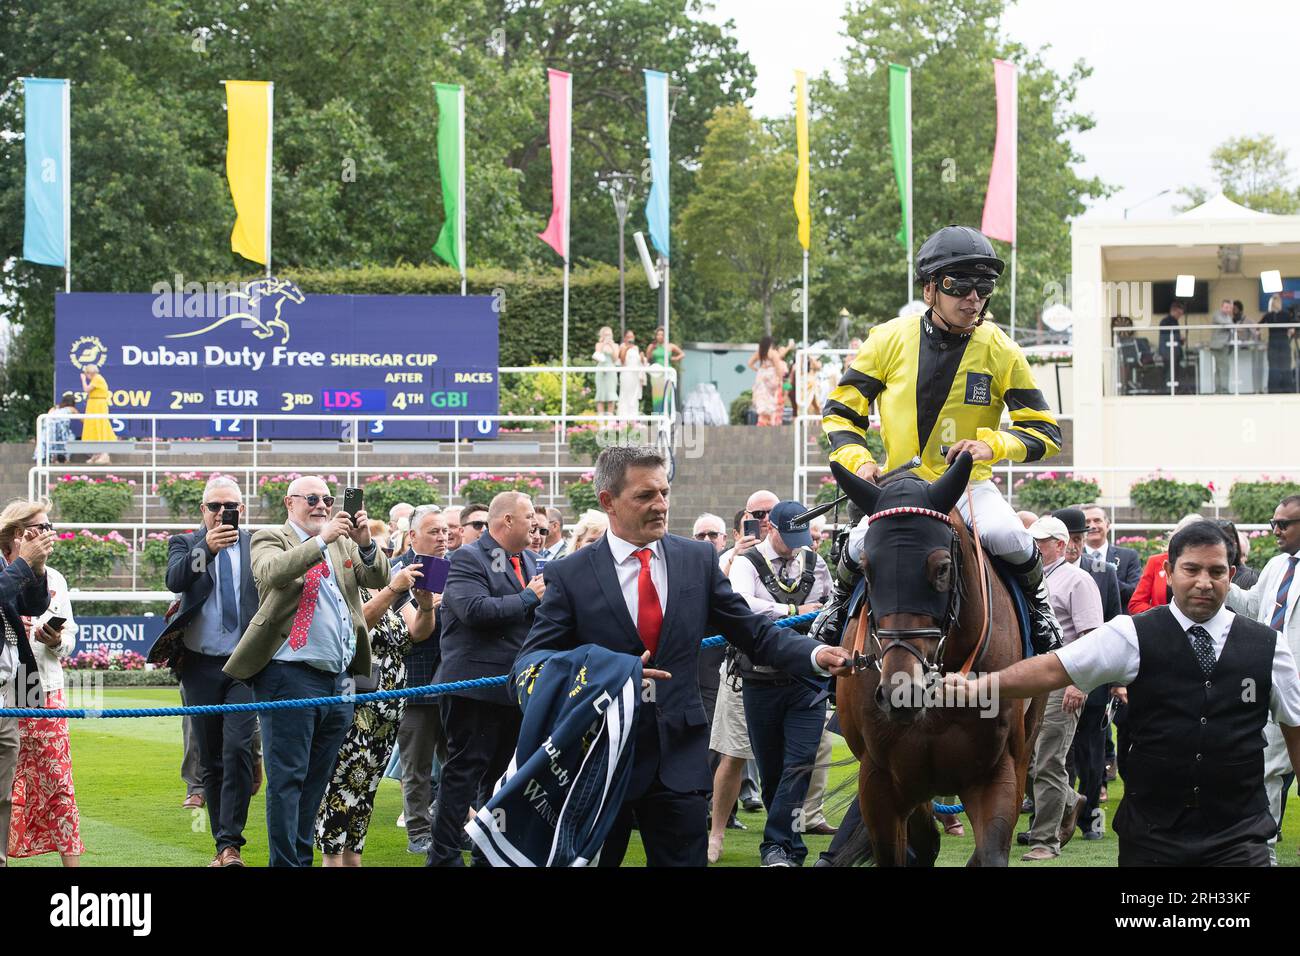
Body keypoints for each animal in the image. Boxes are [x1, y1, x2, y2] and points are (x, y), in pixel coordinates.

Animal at [832, 450, 1045, 868]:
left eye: (943, 568)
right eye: (865, 568)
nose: (901, 692)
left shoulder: (996, 772)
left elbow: (989, 853)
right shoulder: (882, 780)